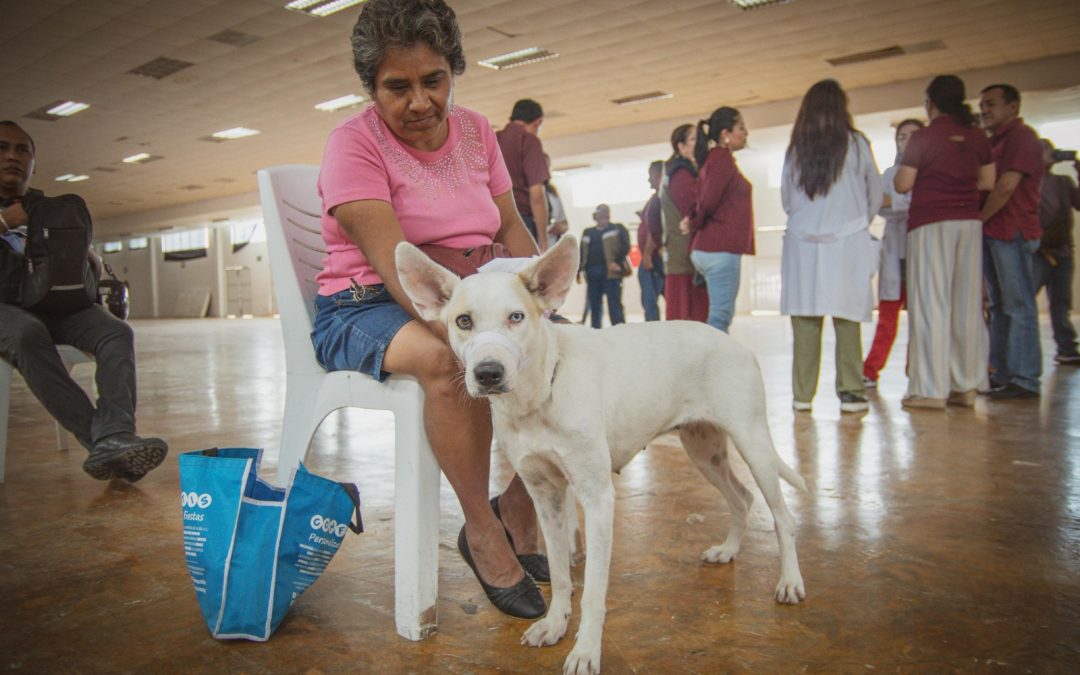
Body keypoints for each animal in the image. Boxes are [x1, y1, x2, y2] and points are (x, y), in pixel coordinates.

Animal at [395, 235, 803, 673]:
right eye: (463, 321)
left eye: (516, 317)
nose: (488, 373)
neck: (540, 397)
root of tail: (732, 341)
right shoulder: (546, 496)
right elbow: (559, 573)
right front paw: (554, 624)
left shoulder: (597, 498)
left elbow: (593, 591)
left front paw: (586, 650)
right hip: (703, 448)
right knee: (742, 497)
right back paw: (728, 550)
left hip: (753, 442)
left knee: (783, 516)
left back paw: (790, 582)